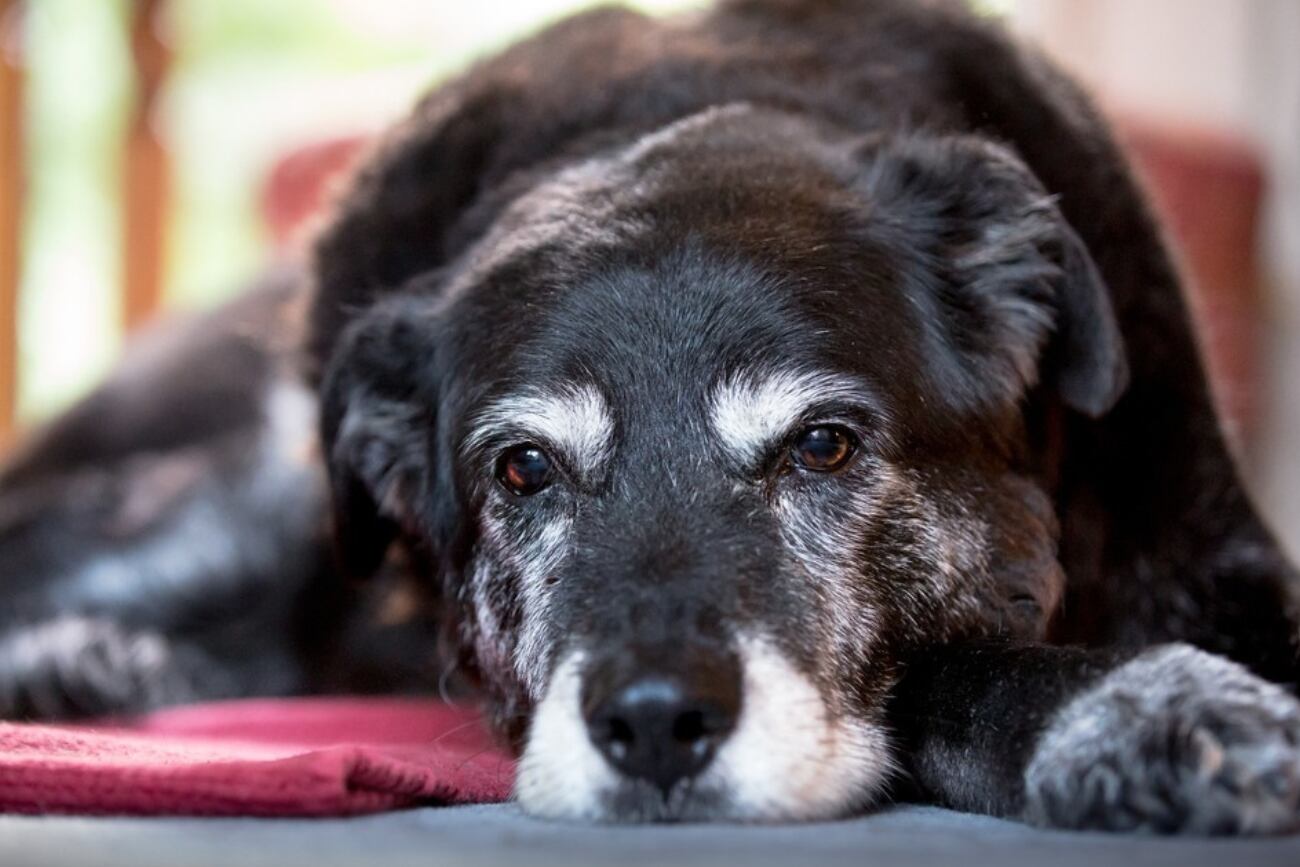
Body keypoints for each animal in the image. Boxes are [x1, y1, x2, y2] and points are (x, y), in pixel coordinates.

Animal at [2, 0, 1300, 837]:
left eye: (822, 446)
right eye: (522, 470)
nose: (656, 724)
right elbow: (946, 666)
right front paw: (1140, 712)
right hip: (243, 508)